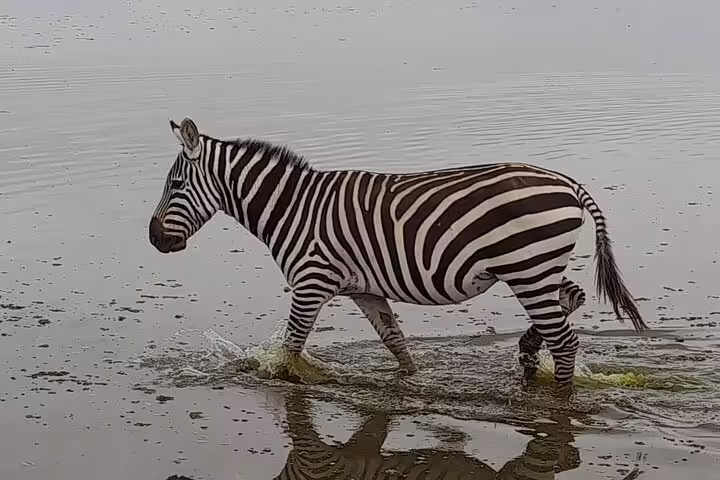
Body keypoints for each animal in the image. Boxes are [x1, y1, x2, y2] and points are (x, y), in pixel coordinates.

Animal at [148, 117, 648, 388]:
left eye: (175, 185)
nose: (154, 240)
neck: (294, 208)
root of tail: (568, 183)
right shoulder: (363, 288)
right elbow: (395, 342)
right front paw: (411, 380)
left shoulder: (311, 282)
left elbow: (291, 348)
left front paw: (281, 377)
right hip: (538, 267)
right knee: (570, 298)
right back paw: (527, 353)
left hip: (527, 267)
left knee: (565, 340)